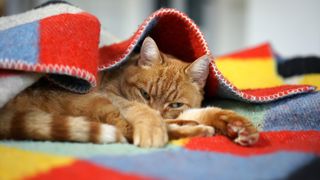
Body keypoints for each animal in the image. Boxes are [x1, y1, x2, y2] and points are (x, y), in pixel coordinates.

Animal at [0, 37, 258, 148]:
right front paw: (154, 126)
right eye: (145, 94)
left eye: (175, 104)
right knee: (123, 129)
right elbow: (142, 113)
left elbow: (201, 112)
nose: (158, 112)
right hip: (93, 101)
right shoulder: (111, 95)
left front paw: (237, 125)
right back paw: (197, 130)